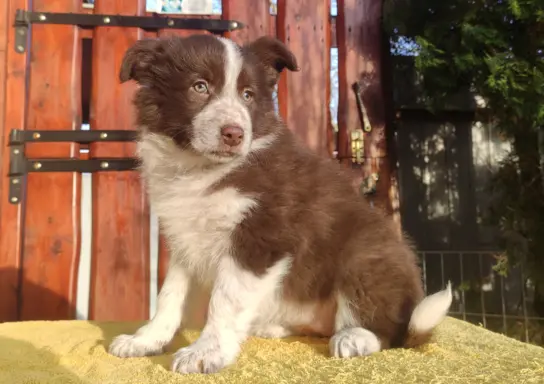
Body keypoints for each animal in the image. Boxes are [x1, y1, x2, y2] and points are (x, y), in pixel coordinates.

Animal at [108, 33, 452, 376]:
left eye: (248, 95)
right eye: (199, 86)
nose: (234, 134)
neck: (200, 168)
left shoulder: (260, 237)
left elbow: (224, 299)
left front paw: (205, 352)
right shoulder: (186, 239)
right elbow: (170, 294)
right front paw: (146, 340)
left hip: (365, 254)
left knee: (389, 330)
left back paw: (355, 336)